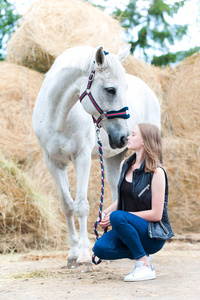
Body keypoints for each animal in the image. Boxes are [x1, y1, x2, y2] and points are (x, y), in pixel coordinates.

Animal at [33, 45, 161, 268]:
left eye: (125, 89)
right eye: (110, 90)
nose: (124, 136)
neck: (58, 117)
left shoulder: (81, 158)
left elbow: (81, 205)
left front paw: (84, 256)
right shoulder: (53, 163)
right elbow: (67, 206)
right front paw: (73, 254)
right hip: (113, 159)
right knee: (116, 192)